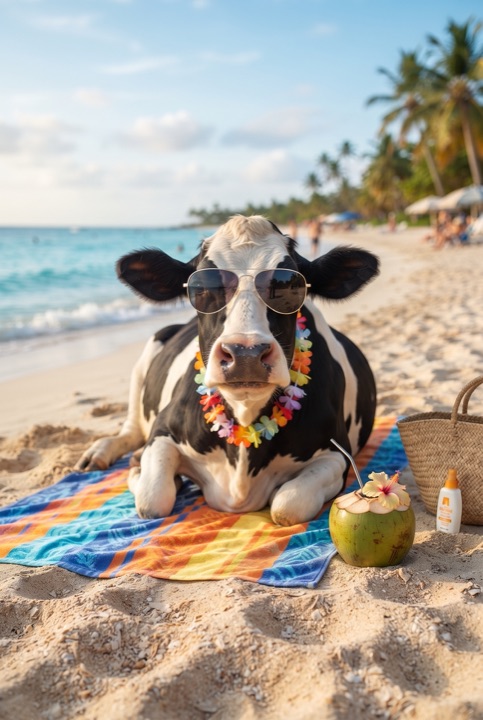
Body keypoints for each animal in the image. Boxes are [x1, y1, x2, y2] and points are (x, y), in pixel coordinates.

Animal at [76, 215, 379, 526]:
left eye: (291, 285)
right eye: (200, 287)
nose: (246, 354)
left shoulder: (336, 452)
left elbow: (286, 506)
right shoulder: (163, 431)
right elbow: (153, 499)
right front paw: (139, 469)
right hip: (149, 354)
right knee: (131, 429)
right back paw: (100, 452)